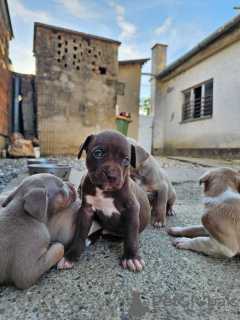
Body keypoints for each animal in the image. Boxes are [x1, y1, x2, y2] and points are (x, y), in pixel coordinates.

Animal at [56, 130, 150, 272]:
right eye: (98, 153)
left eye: (126, 160)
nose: (111, 176)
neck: (104, 191)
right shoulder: (86, 211)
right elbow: (79, 235)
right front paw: (70, 255)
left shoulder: (132, 209)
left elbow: (131, 236)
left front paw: (132, 257)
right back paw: (90, 238)